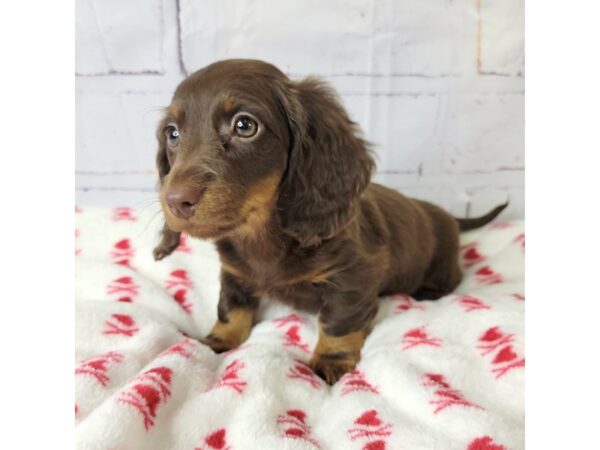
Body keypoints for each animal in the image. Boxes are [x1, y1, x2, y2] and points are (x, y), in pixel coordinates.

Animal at [151, 59, 506, 384]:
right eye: (173, 133)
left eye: (245, 126)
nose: (176, 201)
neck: (263, 236)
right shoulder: (235, 273)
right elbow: (231, 308)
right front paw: (217, 341)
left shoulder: (354, 275)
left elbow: (339, 321)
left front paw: (330, 360)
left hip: (442, 265)